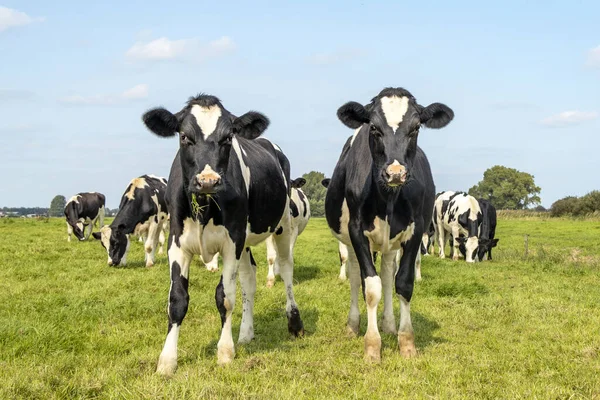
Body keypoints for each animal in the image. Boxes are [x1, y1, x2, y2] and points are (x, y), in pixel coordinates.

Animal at [142, 94, 304, 376]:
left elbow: (225, 297)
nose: (208, 180)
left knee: (286, 269)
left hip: (282, 226)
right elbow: (177, 300)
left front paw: (225, 351)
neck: (205, 206)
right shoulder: (177, 243)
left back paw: (294, 322)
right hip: (246, 241)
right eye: (184, 136)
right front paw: (167, 360)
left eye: (228, 137)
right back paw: (246, 333)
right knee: (249, 278)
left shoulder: (231, 243)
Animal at [326, 87, 452, 362]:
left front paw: (406, 342)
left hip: (390, 244)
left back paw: (389, 324)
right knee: (356, 277)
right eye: (374, 127)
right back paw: (353, 325)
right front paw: (372, 346)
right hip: (350, 241)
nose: (395, 173)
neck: (389, 198)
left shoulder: (416, 231)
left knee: (386, 274)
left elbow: (402, 282)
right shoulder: (357, 232)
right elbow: (370, 287)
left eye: (416, 127)